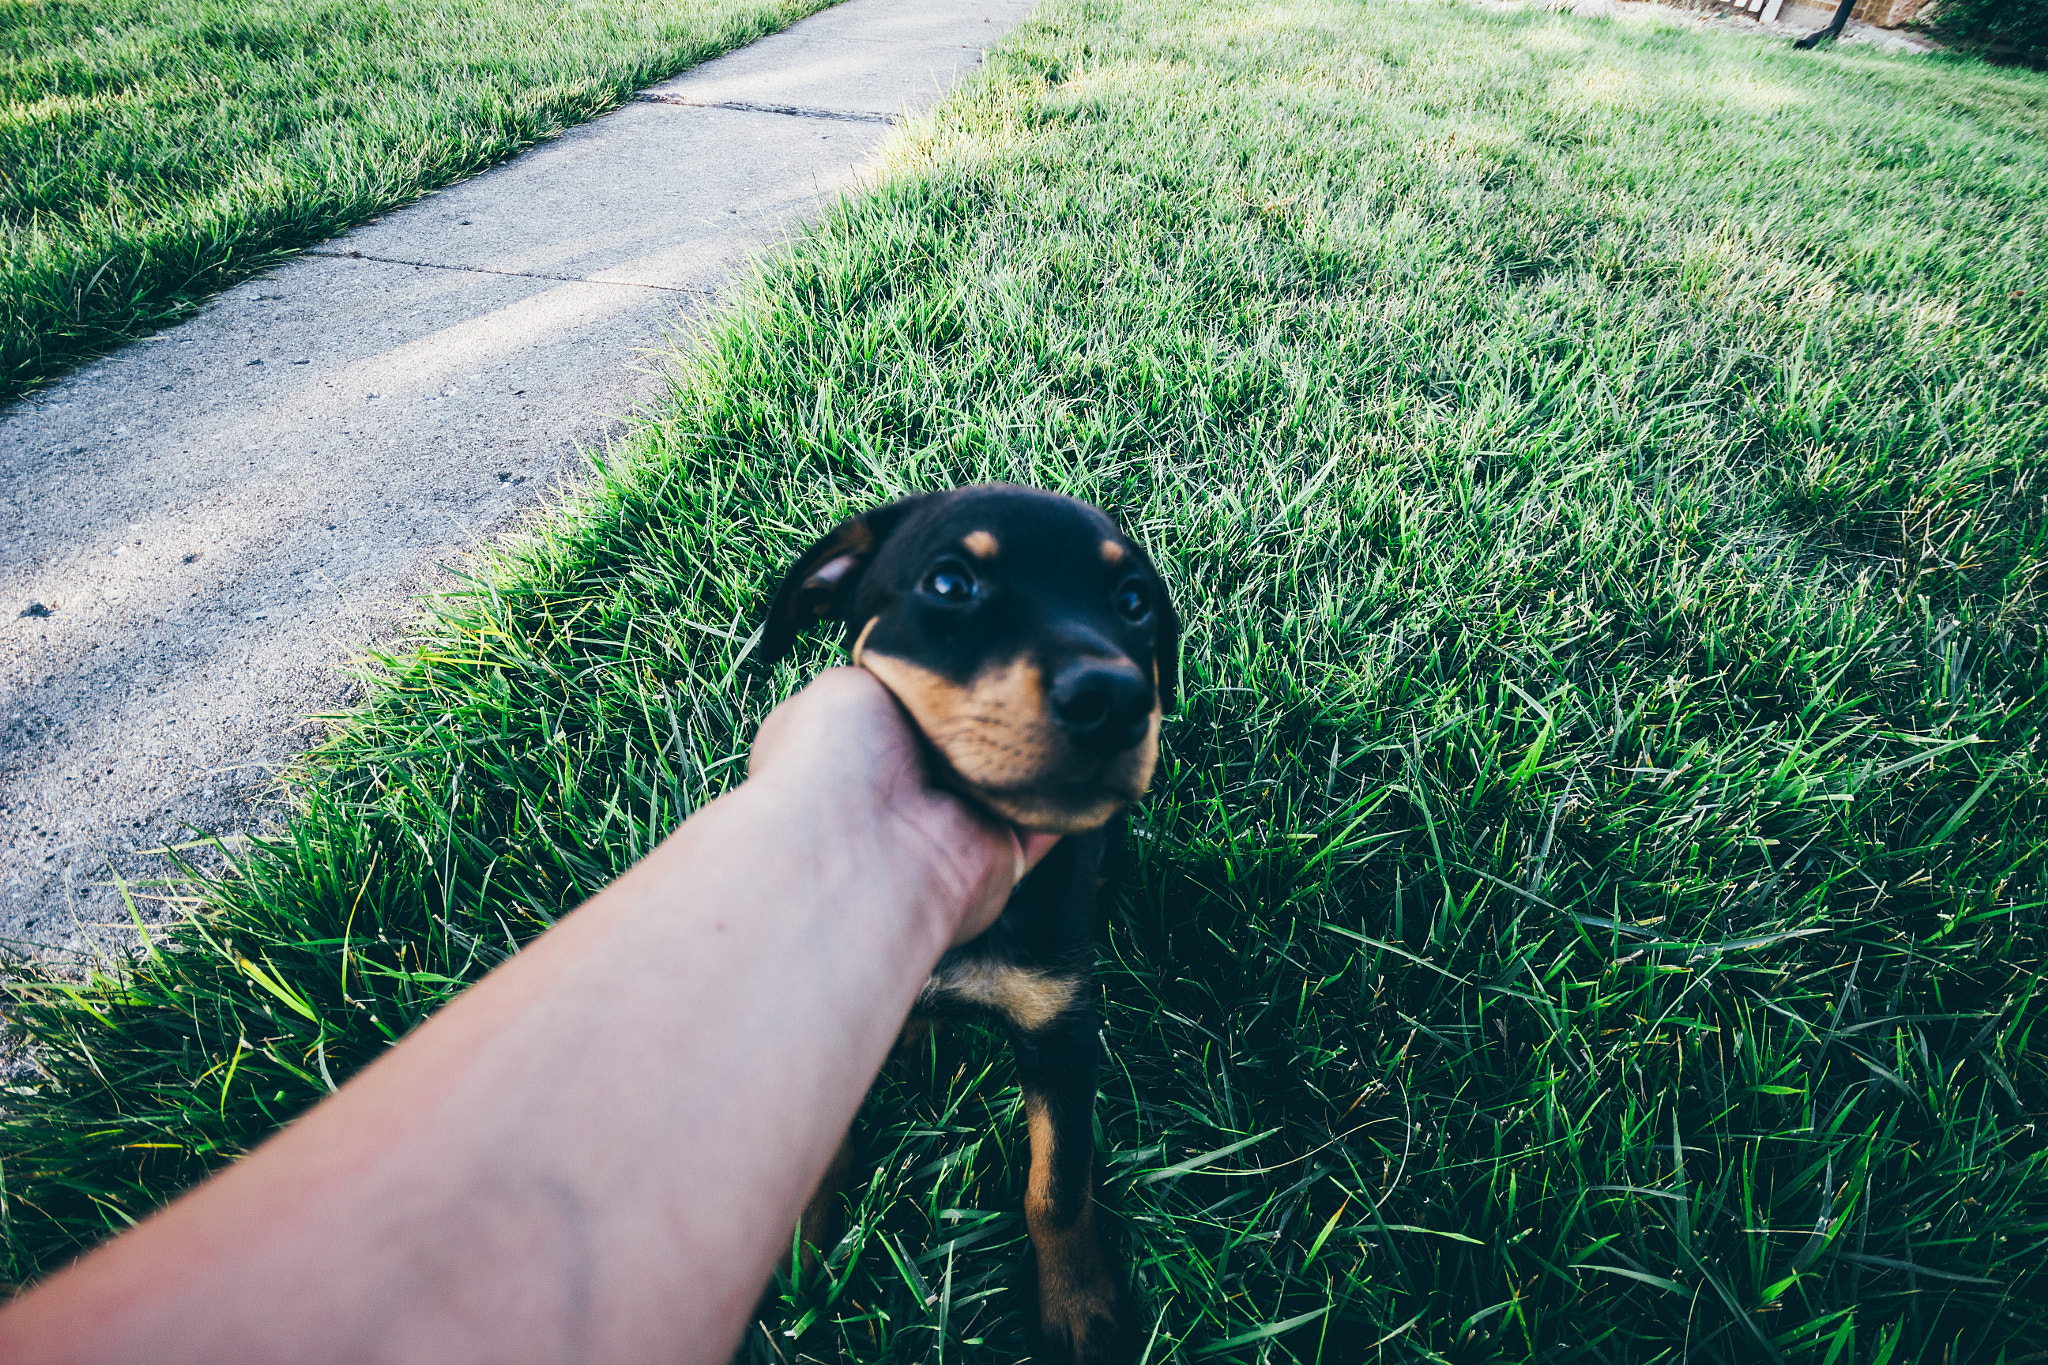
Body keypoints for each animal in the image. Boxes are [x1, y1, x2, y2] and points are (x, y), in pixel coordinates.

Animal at [753, 482, 1179, 1365]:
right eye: (950, 584)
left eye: (1132, 603)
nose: (1117, 701)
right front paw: (801, 1250)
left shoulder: (1060, 1024)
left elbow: (1056, 1185)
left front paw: (1079, 1308)